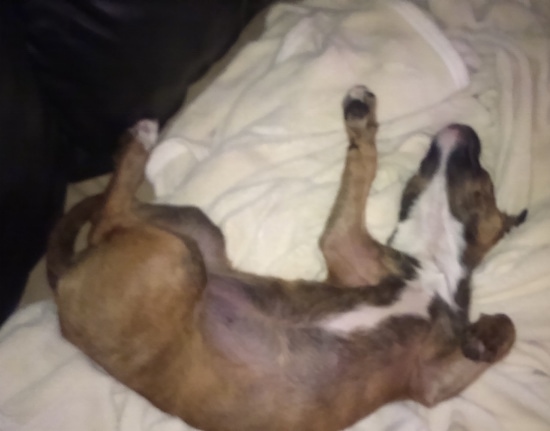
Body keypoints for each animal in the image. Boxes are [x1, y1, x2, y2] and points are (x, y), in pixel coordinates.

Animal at [46, 87, 528, 431]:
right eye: (486, 178)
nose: (464, 129)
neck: (431, 268)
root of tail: (65, 281)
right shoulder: (343, 241)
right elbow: (363, 167)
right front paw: (362, 126)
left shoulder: (432, 379)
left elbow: (506, 326)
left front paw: (487, 335)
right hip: (177, 257)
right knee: (107, 215)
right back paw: (140, 139)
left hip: (196, 232)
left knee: (113, 218)